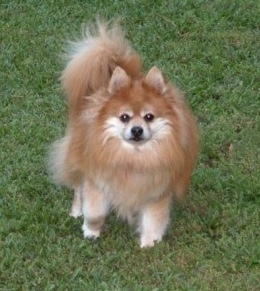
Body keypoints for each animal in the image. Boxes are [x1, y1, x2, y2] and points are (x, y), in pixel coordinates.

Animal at [49, 21, 198, 249]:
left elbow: (154, 219)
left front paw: (150, 243)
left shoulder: (157, 190)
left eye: (149, 117)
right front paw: (91, 231)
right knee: (77, 186)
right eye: (124, 117)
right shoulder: (96, 180)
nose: (137, 129)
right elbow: (94, 210)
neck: (133, 158)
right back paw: (76, 210)